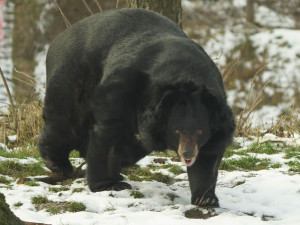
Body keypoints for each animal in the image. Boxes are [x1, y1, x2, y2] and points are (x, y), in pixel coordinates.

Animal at [38, 8, 234, 207]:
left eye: (200, 131)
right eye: (176, 131)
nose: (187, 154)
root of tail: (58, 38)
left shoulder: (216, 118)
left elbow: (208, 157)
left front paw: (206, 198)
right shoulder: (124, 86)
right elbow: (109, 132)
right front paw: (107, 184)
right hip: (73, 77)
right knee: (65, 123)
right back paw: (60, 164)